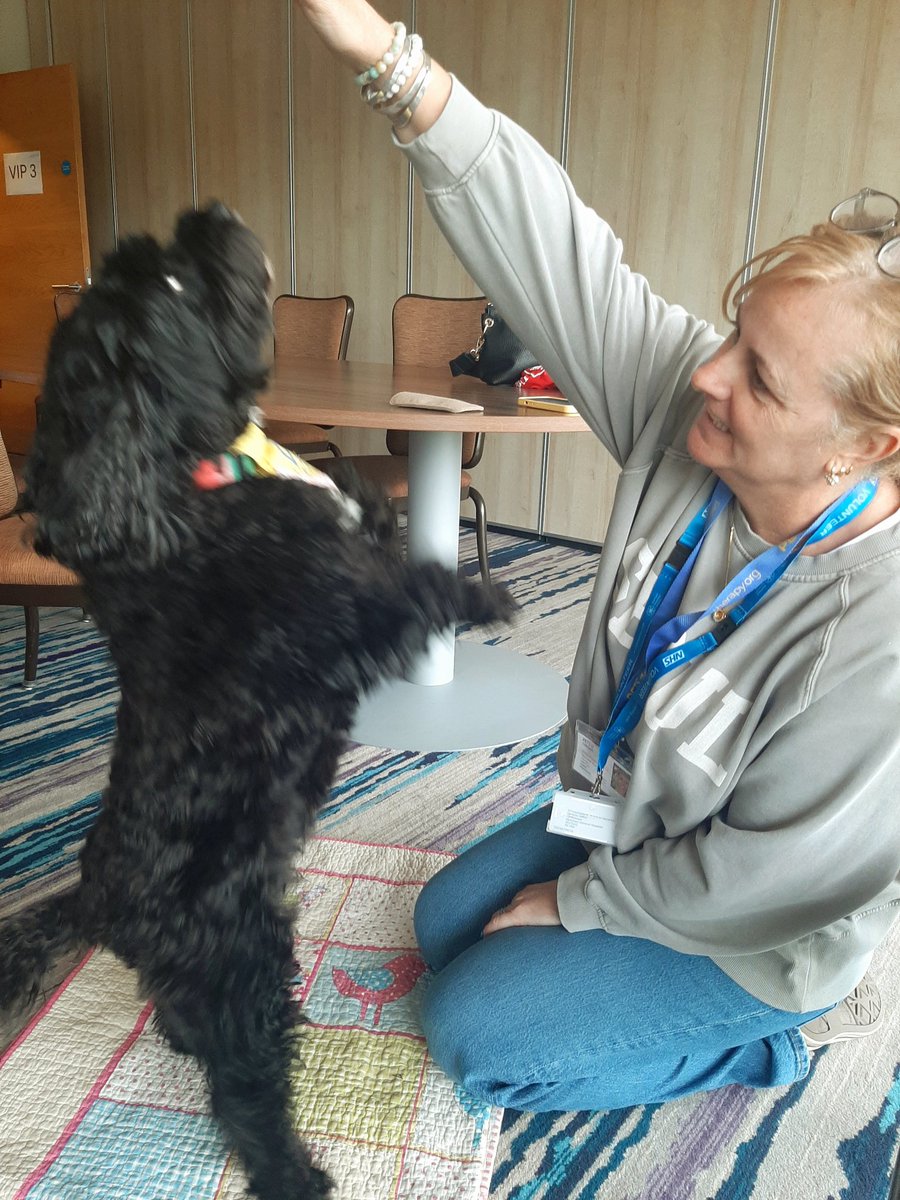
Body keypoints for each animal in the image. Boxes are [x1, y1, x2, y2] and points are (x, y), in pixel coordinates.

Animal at [1, 204, 513, 1200]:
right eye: (170, 286)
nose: (214, 214)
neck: (187, 483)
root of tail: (96, 898)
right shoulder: (344, 621)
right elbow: (410, 589)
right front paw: (484, 596)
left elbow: (370, 514)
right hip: (244, 957)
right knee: (242, 1092)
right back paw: (295, 1172)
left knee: (184, 1020)